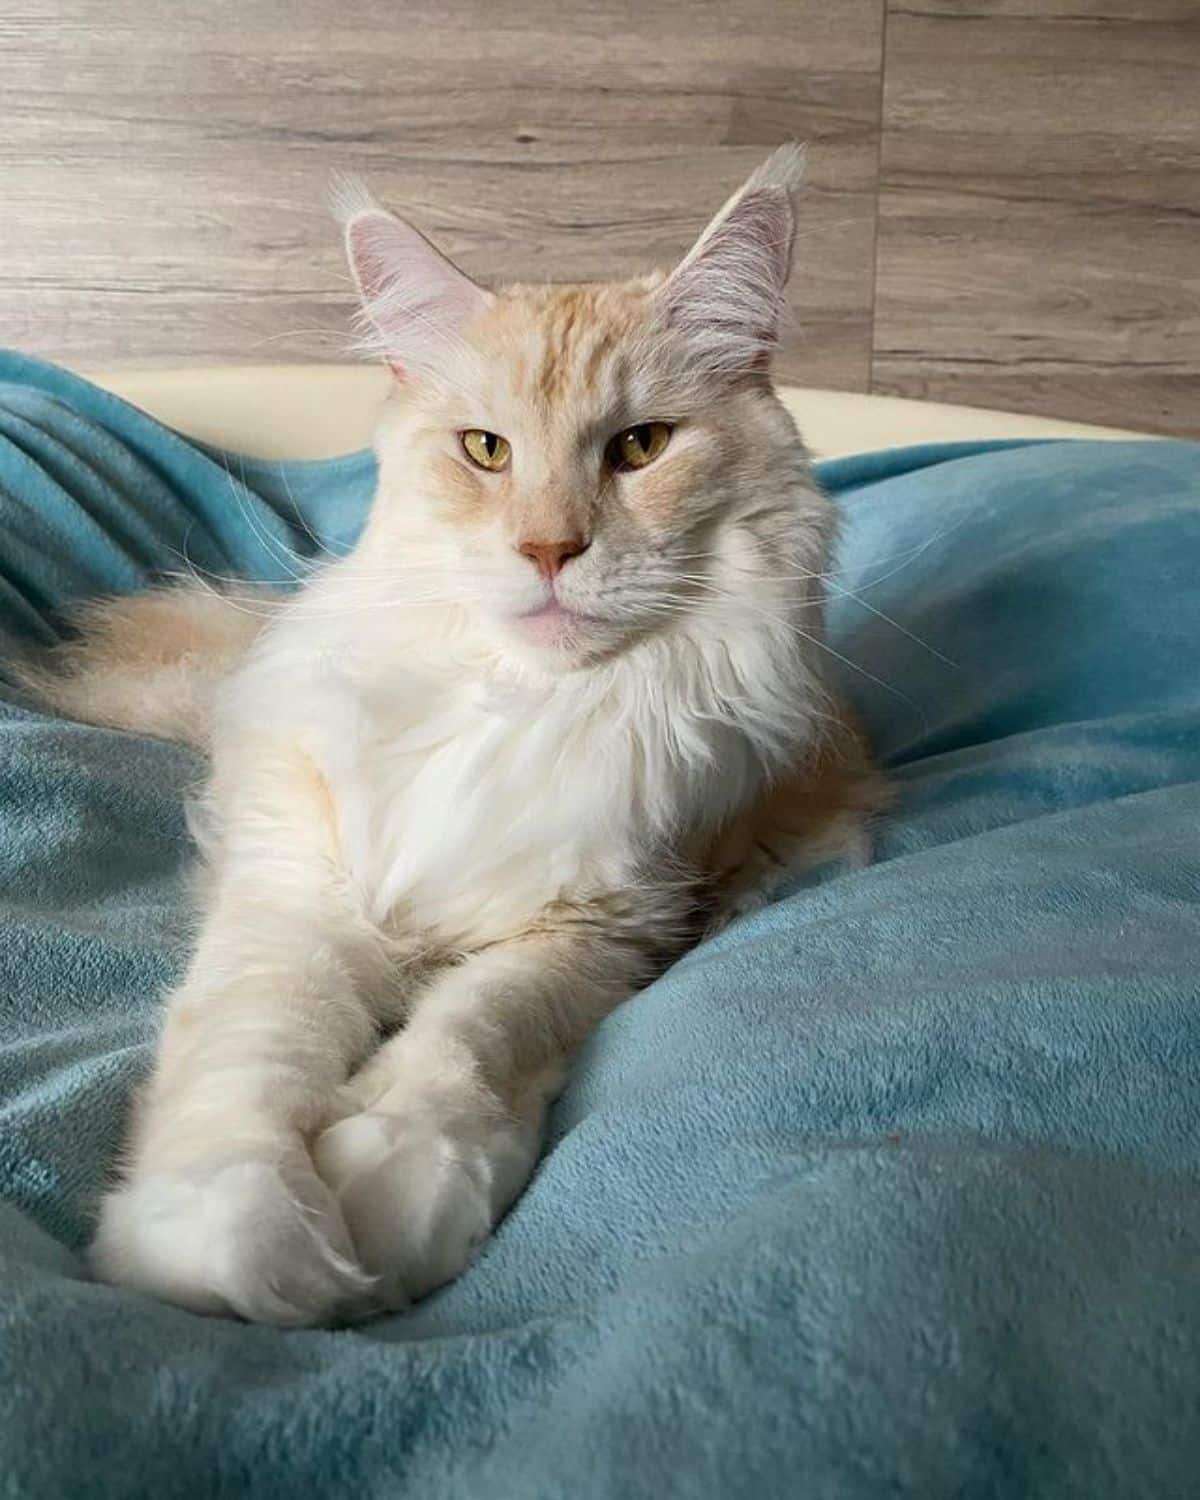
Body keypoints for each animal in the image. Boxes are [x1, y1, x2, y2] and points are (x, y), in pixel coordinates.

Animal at [28, 149, 888, 1326]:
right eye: (486, 451)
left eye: (640, 448)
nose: (549, 550)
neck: (515, 704)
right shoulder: (299, 895)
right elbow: (245, 1067)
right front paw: (239, 1250)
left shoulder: (600, 929)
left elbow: (471, 1032)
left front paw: (391, 1187)